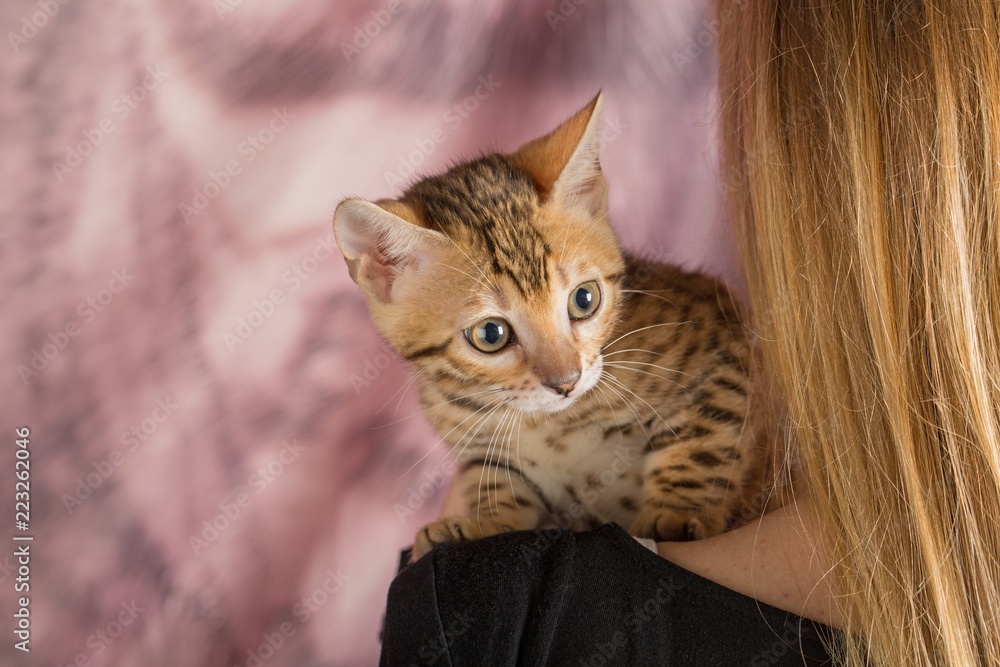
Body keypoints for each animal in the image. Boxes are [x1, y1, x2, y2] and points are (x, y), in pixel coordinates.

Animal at [332, 94, 768, 560]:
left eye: (584, 300)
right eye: (491, 335)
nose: (566, 382)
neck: (548, 424)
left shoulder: (722, 344)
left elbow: (706, 432)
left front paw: (677, 511)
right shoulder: (472, 438)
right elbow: (496, 483)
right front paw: (482, 525)